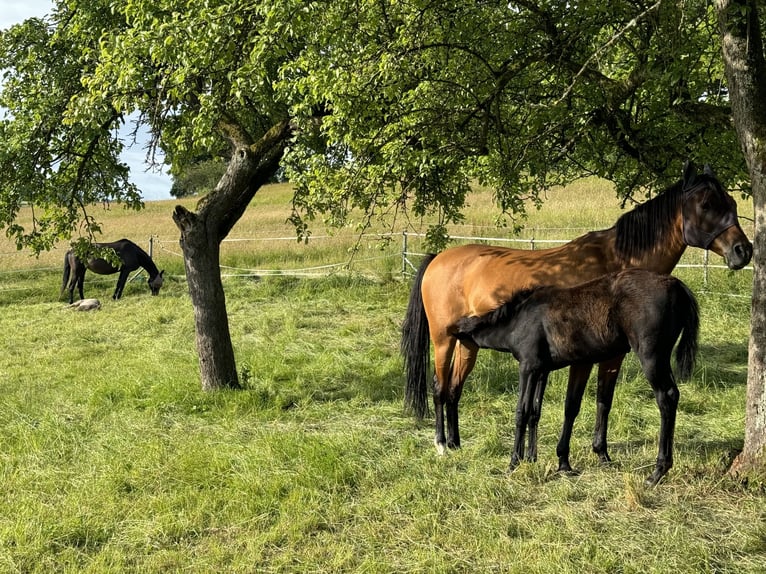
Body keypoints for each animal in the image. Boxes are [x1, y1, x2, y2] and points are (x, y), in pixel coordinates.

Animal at [456, 270, 704, 486]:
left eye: (460, 340)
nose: (458, 364)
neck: (520, 319)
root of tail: (677, 286)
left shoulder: (527, 367)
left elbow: (521, 412)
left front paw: (514, 462)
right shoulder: (542, 370)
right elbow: (538, 411)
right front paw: (538, 459)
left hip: (651, 357)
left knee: (666, 397)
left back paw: (658, 471)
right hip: (662, 359)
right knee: (673, 395)